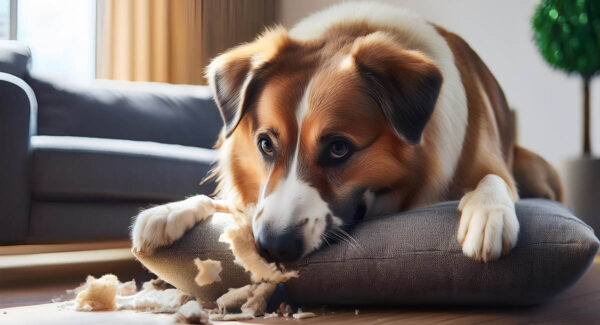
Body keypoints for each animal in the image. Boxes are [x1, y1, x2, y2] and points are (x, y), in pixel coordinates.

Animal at [131, 1, 564, 264]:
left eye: (339, 149)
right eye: (265, 144)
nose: (272, 247)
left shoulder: (492, 165)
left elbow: (492, 180)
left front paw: (488, 215)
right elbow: (233, 202)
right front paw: (170, 211)